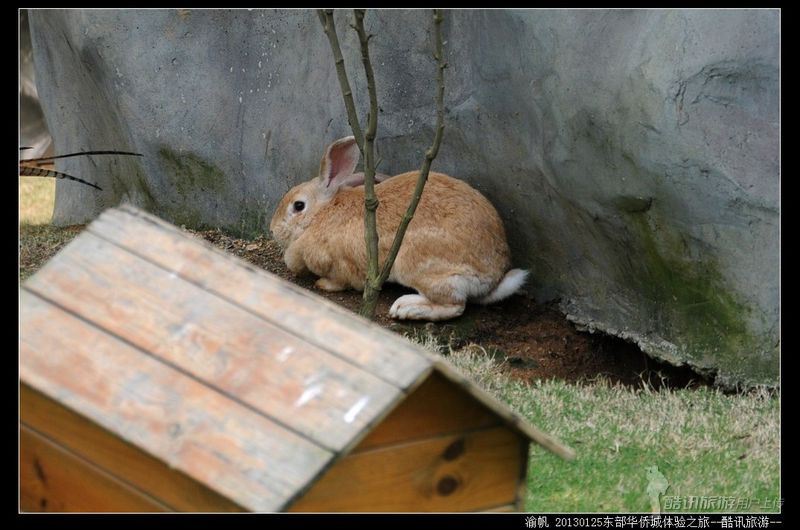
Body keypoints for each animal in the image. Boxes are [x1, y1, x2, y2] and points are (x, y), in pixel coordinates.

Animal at [272, 135, 528, 318]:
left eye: (298, 206)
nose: (273, 230)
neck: (321, 214)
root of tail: (493, 277)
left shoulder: (341, 265)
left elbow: (341, 280)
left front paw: (323, 284)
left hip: (415, 265)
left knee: (455, 305)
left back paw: (406, 308)